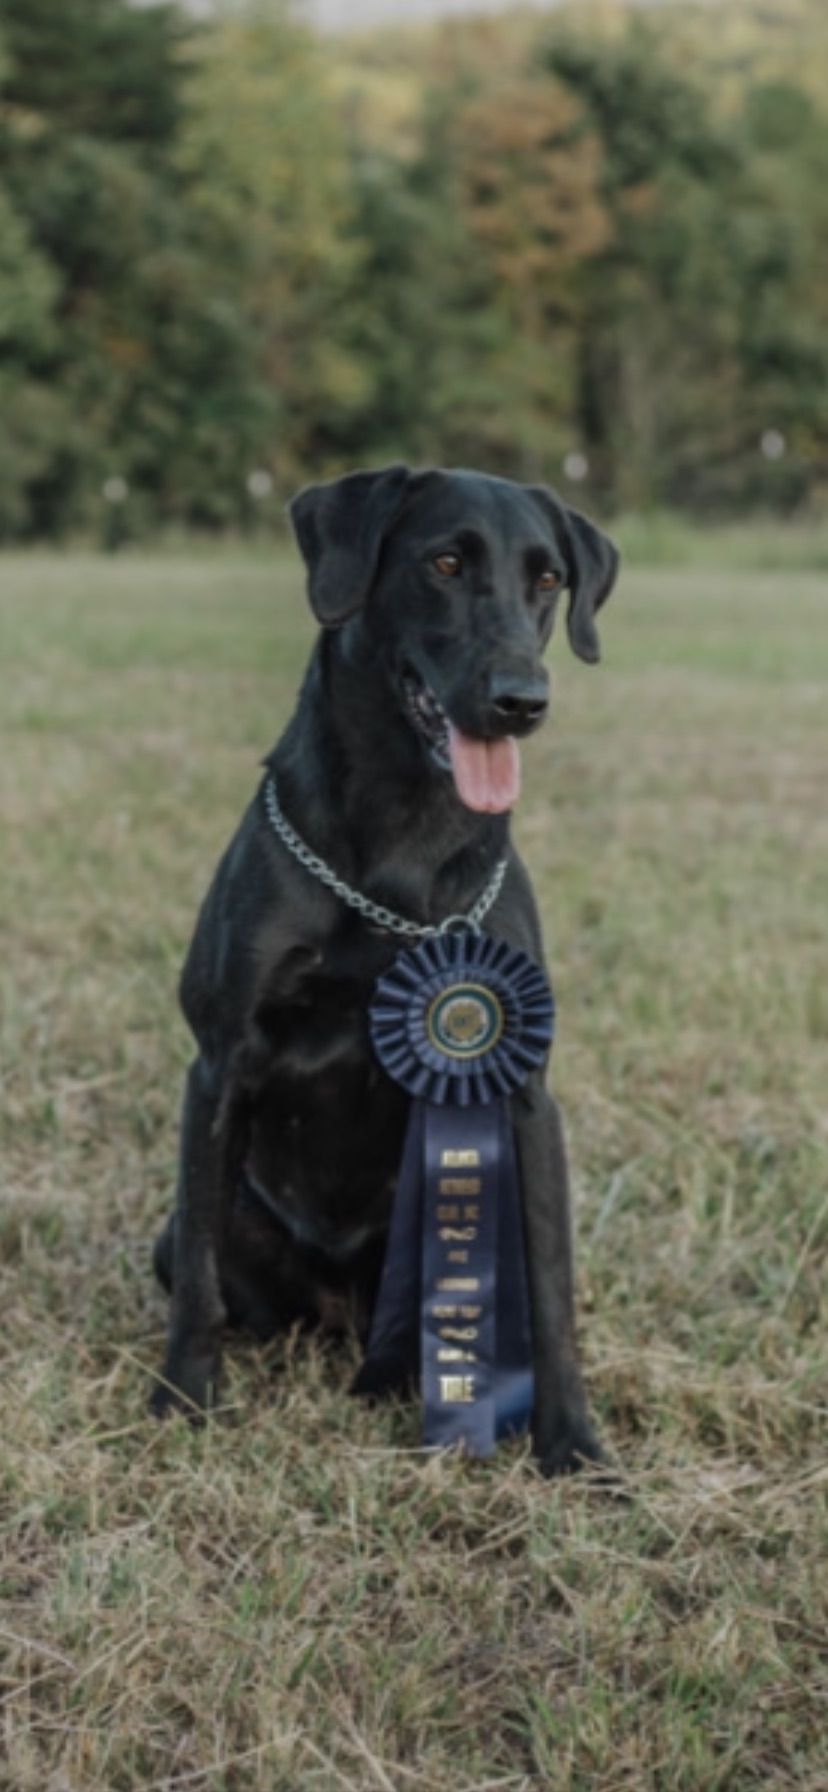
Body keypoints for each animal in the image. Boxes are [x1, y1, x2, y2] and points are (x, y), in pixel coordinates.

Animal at [153, 462, 620, 1469]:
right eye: (444, 562)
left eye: (548, 579)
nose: (523, 700)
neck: (403, 836)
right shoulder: (219, 1066)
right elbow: (200, 1281)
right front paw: (183, 1399)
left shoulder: (527, 1097)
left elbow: (554, 1292)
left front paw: (571, 1442)